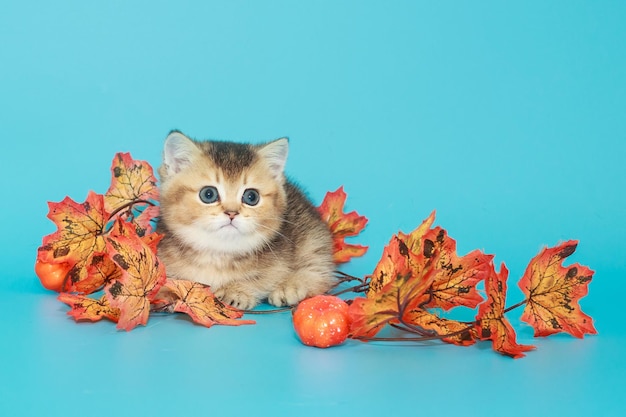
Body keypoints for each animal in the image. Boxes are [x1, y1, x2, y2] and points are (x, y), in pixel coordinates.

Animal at [156, 130, 336, 308]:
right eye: (208, 194)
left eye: (251, 197)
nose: (232, 213)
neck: (219, 255)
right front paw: (166, 292)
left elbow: (262, 278)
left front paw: (235, 290)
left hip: (311, 234)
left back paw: (291, 286)